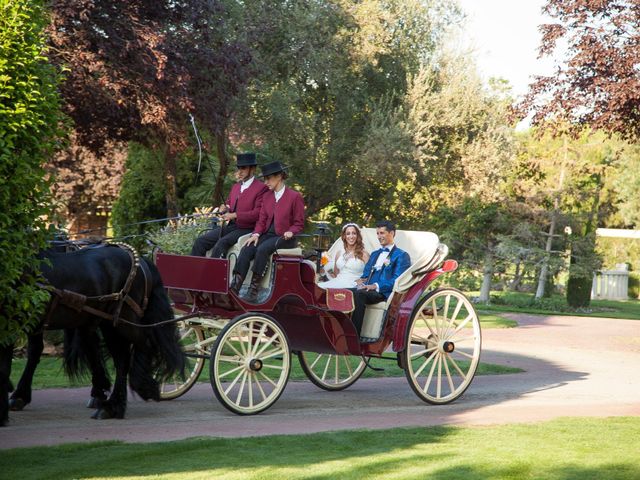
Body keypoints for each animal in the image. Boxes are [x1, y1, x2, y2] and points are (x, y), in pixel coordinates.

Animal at [0, 244, 185, 424]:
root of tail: (140, 259)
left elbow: (5, 366)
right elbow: (29, 355)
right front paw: (17, 395)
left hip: (122, 321)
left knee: (137, 349)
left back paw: (124, 398)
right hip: (107, 323)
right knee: (120, 357)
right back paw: (114, 403)